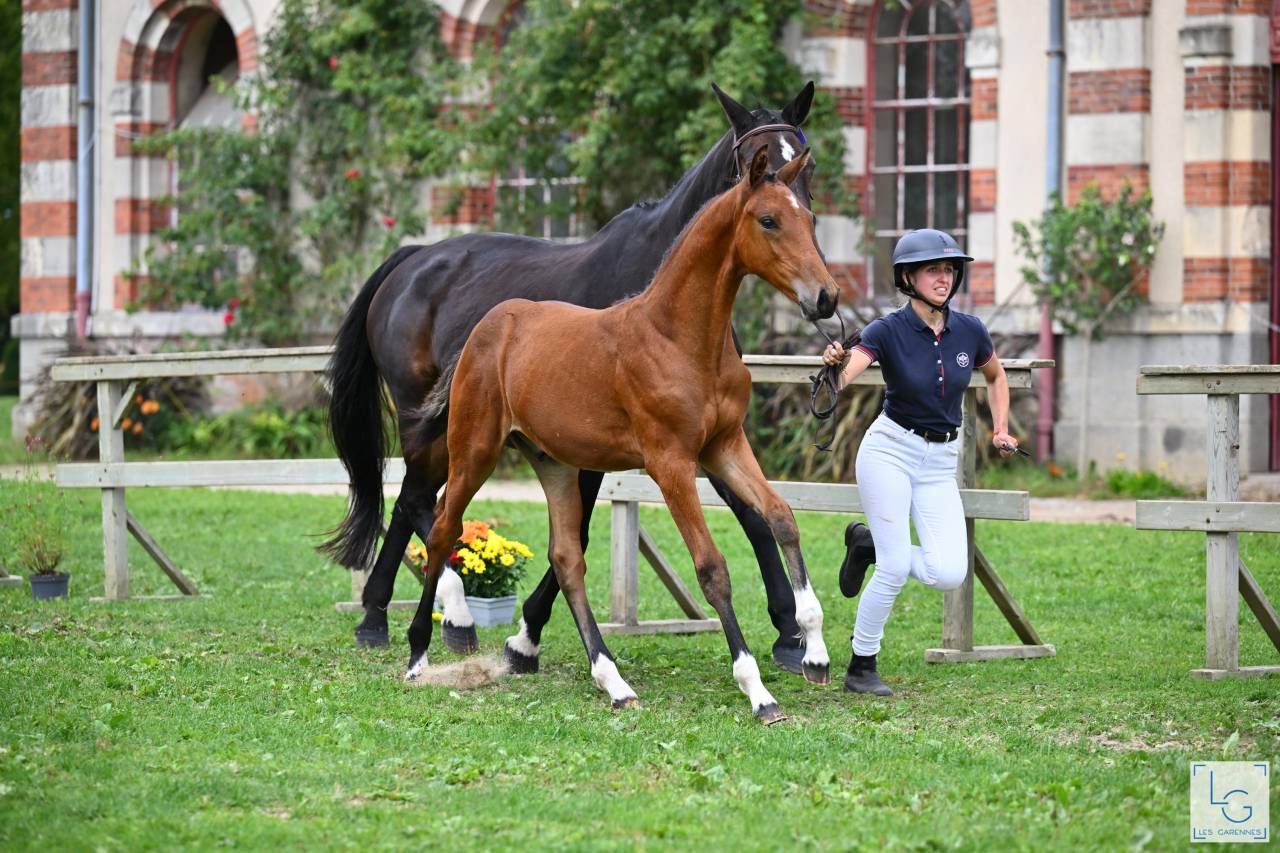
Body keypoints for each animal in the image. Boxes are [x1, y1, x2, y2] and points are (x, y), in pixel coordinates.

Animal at [323, 82, 831, 681]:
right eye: (755, 162)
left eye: (809, 165)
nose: (824, 296)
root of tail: (411, 258)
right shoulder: (625, 447)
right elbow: (581, 536)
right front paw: (527, 637)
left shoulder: (705, 441)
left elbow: (756, 517)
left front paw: (791, 634)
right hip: (432, 420)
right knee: (425, 503)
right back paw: (450, 615)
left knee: (409, 501)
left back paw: (376, 615)